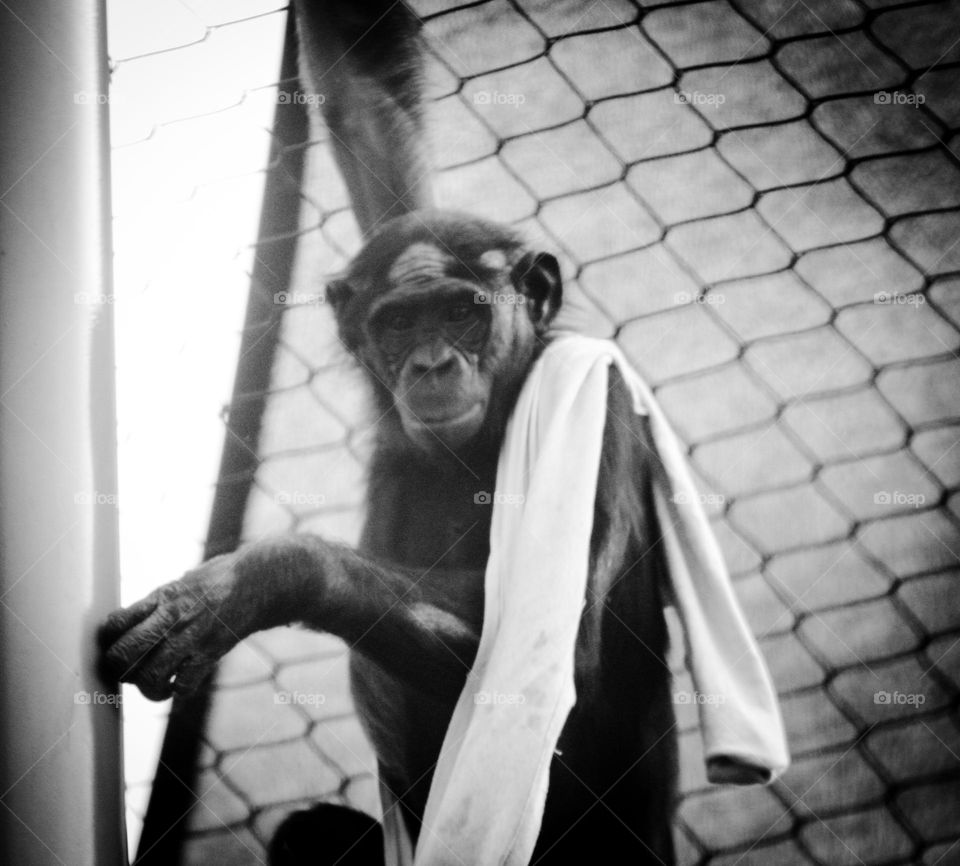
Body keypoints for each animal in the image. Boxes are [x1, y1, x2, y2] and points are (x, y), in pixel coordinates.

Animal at [101, 2, 679, 863]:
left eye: (463, 310)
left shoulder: (596, 406)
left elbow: (549, 653)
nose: (434, 363)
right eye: (401, 321)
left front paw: (267, 576)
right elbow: (361, 97)